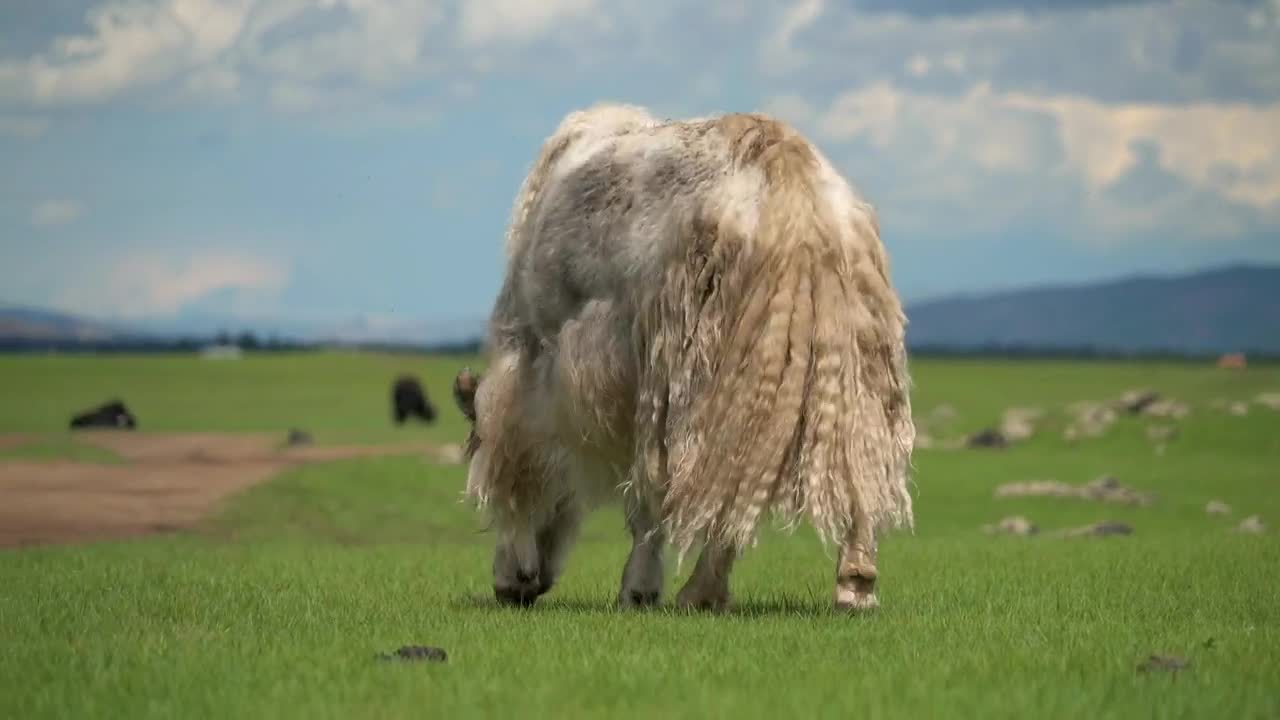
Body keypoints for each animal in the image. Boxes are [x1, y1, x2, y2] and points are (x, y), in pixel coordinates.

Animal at [453, 102, 916, 613]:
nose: (512, 587)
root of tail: (791, 180)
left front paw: (639, 589)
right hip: (858, 364)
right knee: (855, 463)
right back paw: (855, 585)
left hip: (689, 370)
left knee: (703, 477)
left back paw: (690, 591)